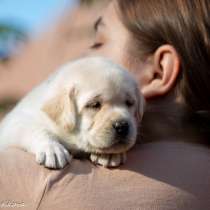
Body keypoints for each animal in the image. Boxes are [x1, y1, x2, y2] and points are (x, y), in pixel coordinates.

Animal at [0, 56, 144, 168]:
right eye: (94, 105)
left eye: (129, 103)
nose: (122, 126)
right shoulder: (14, 123)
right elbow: (35, 129)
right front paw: (51, 148)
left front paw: (111, 154)